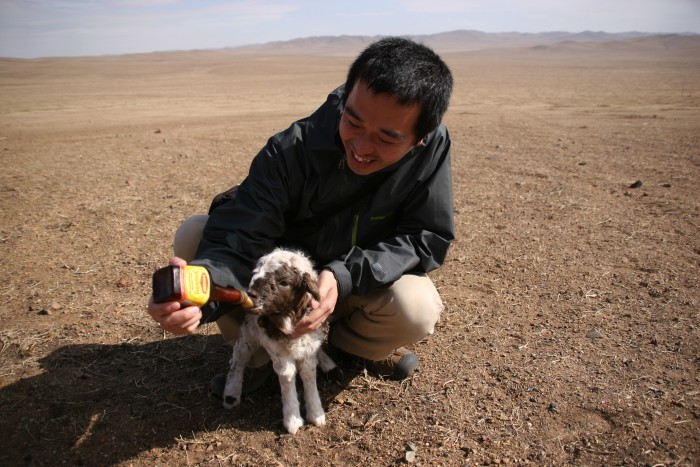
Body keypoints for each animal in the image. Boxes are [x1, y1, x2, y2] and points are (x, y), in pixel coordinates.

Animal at [220, 249, 338, 436]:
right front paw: (292, 420)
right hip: (248, 332)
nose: (251, 295)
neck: (287, 318)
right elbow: (287, 376)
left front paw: (316, 413)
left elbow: (308, 373)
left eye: (284, 282)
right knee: (239, 357)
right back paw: (231, 394)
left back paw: (328, 364)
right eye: (256, 274)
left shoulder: (309, 341)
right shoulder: (275, 347)